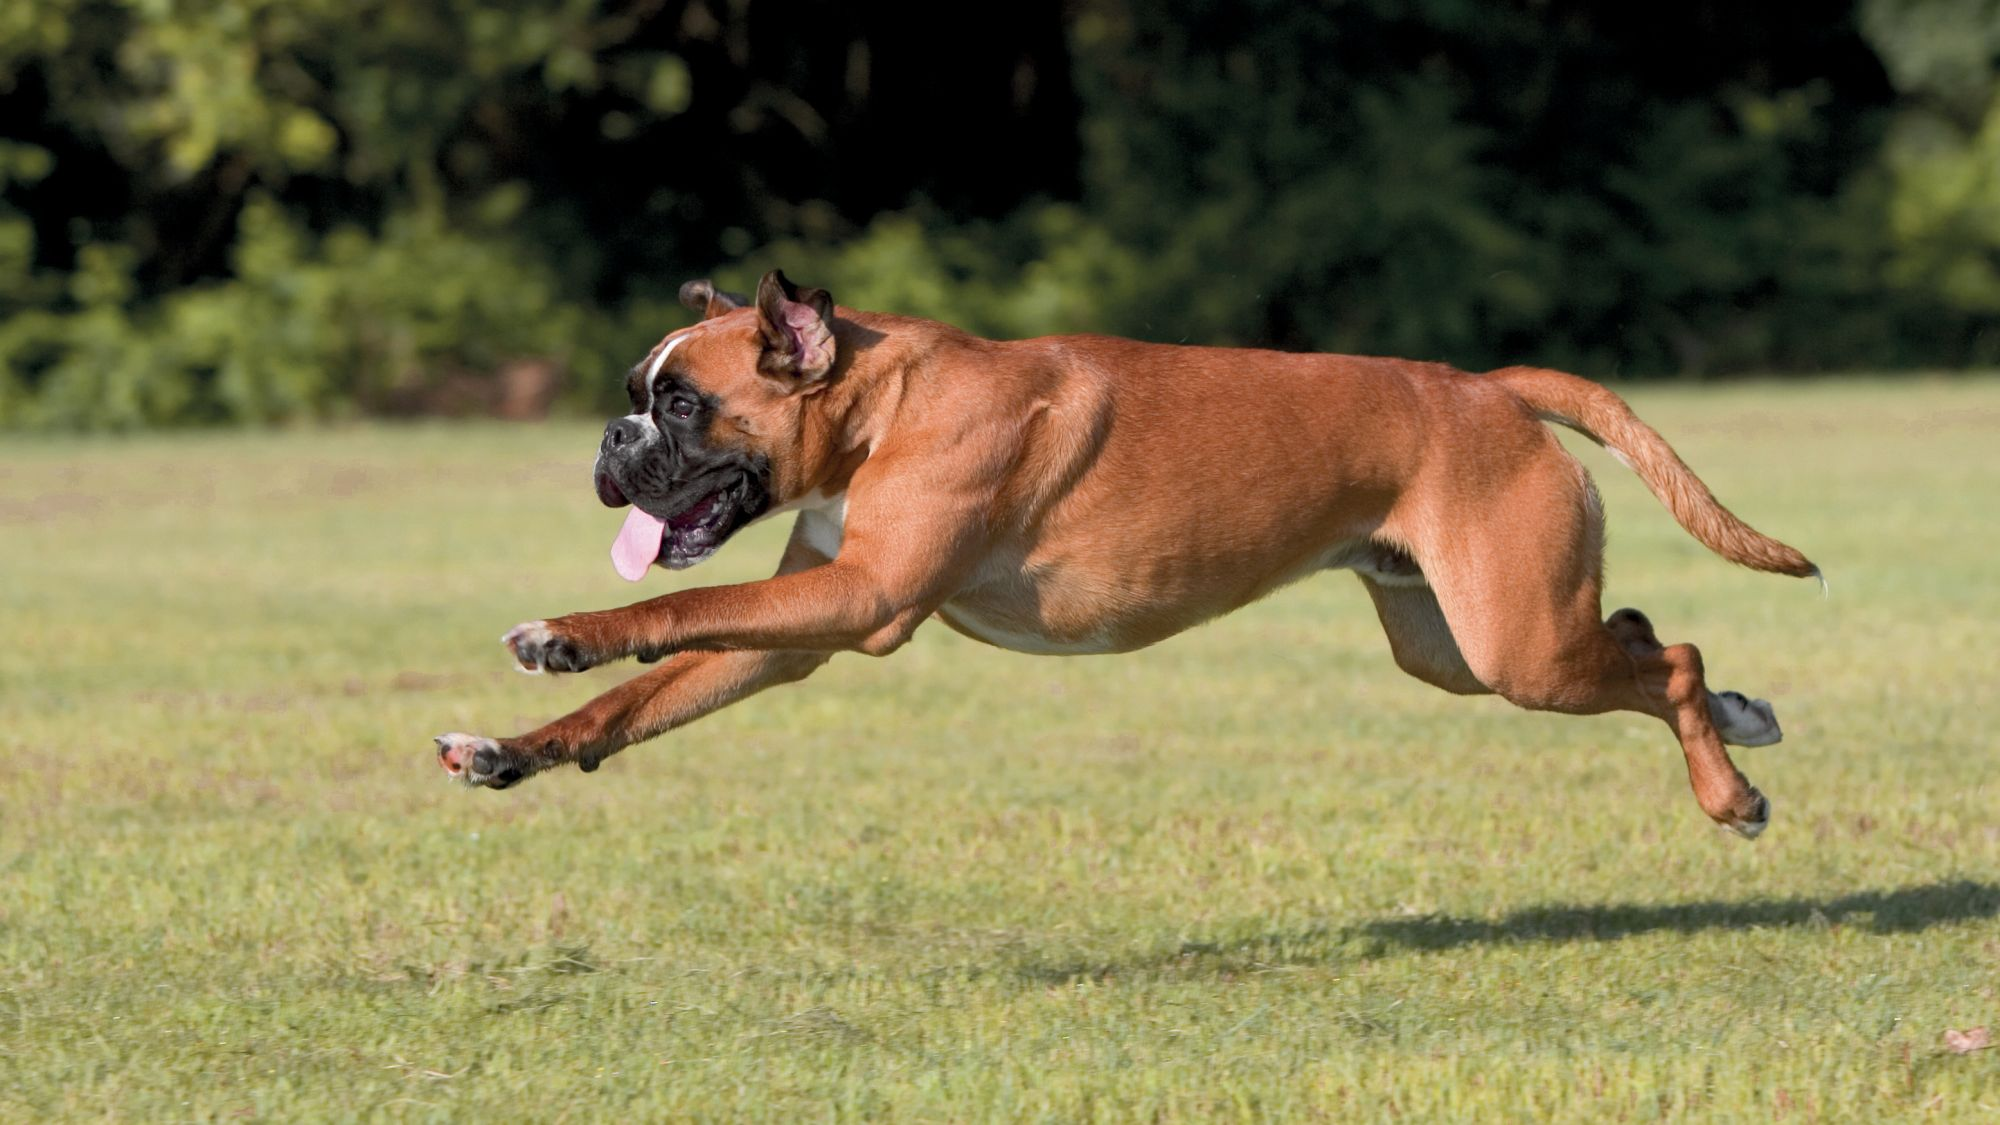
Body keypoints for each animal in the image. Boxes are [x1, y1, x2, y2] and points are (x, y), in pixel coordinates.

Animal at [434, 270, 1816, 832]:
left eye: (679, 406)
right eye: (638, 397)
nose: (610, 437)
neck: (881, 402)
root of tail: (1485, 390)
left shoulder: (859, 601)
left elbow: (664, 616)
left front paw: (563, 635)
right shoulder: (798, 628)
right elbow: (639, 698)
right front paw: (512, 749)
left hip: (1517, 646)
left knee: (1670, 658)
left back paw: (1730, 790)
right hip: (1464, 647)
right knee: (1637, 636)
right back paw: (1742, 721)